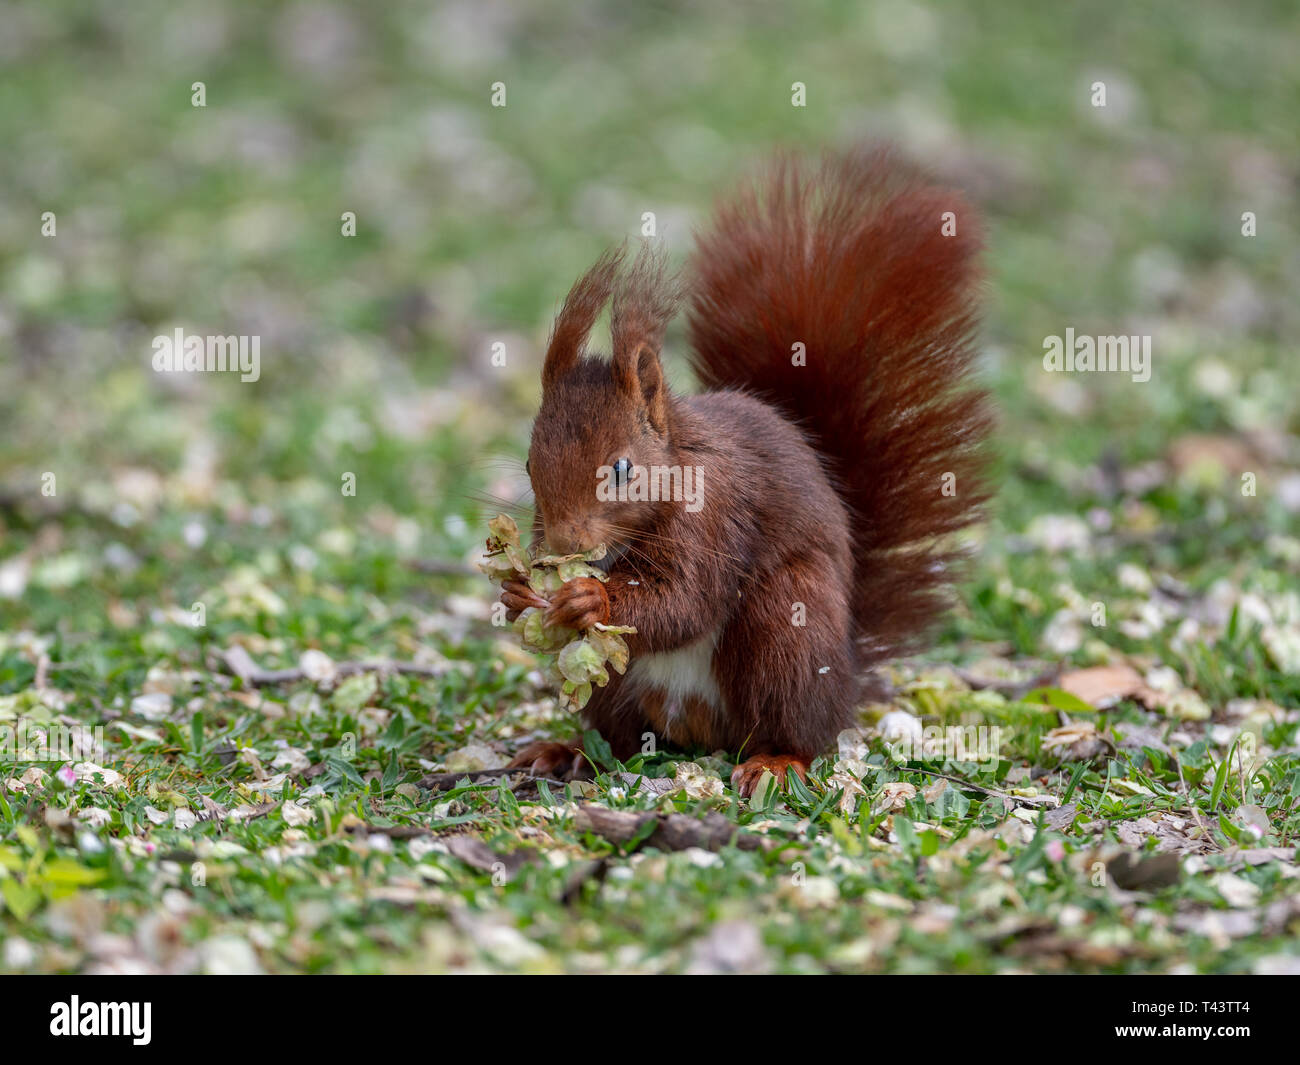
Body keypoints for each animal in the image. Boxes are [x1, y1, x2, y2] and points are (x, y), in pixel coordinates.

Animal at [501, 145, 987, 795]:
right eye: (530, 464)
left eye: (623, 468)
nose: (561, 546)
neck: (677, 469)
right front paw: (515, 592)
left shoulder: (716, 516)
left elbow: (686, 599)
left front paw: (589, 599)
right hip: (619, 691)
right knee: (623, 740)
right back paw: (569, 751)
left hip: (786, 627)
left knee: (800, 728)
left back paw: (778, 762)